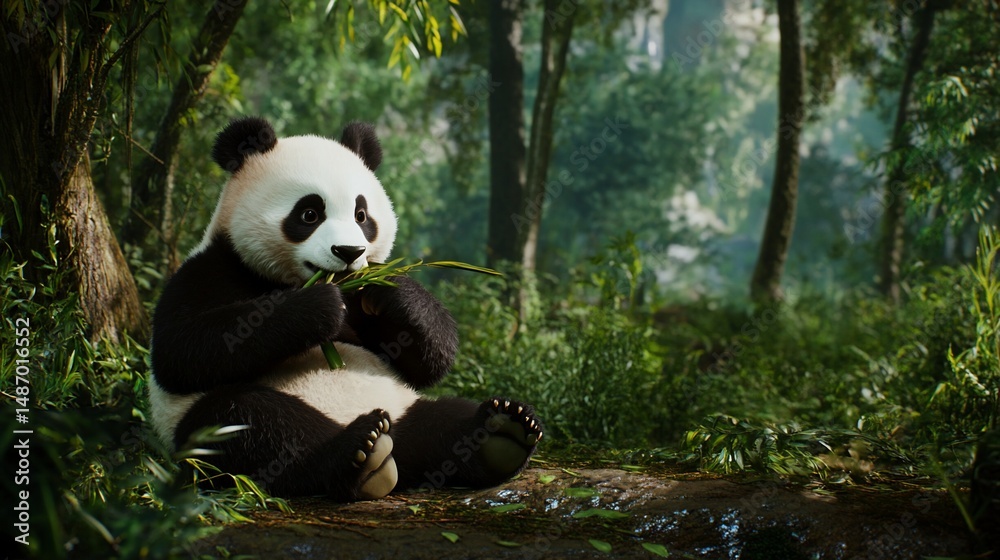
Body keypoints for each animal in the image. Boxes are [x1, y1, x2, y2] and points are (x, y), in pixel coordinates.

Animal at [148, 116, 542, 501]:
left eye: (361, 215)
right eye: (309, 214)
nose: (349, 252)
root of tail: (398, 450)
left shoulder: (368, 313)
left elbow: (425, 361)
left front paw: (390, 289)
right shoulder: (211, 269)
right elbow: (183, 349)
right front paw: (318, 307)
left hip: (404, 403)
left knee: (444, 420)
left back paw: (502, 432)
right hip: (205, 426)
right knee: (256, 426)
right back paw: (360, 453)